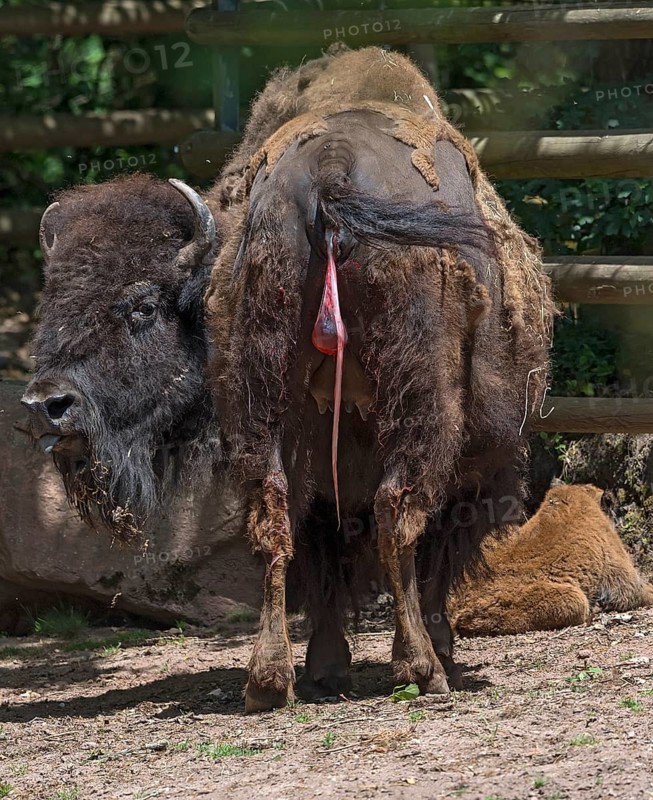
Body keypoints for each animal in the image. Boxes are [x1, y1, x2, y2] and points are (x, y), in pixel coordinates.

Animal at [205, 46, 555, 711]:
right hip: (423, 399)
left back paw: (269, 680)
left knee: (276, 511)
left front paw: (327, 665)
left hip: (266, 393)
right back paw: (422, 666)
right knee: (400, 508)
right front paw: (438, 647)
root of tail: (331, 170)